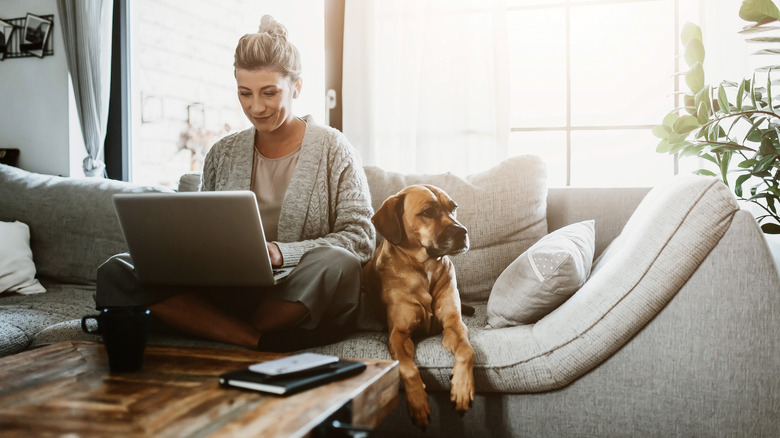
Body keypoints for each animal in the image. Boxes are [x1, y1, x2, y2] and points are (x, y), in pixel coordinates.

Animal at [362, 184, 472, 428]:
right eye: (427, 212)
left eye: (453, 208)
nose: (463, 232)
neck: (425, 268)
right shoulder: (399, 334)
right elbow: (407, 367)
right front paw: (418, 403)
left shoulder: (454, 324)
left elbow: (467, 351)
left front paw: (462, 388)